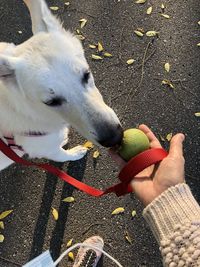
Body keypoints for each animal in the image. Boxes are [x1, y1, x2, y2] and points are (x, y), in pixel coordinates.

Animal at [0, 0, 122, 172]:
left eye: (86, 74)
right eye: (51, 102)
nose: (114, 138)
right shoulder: (47, 150)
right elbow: (62, 155)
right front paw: (75, 153)